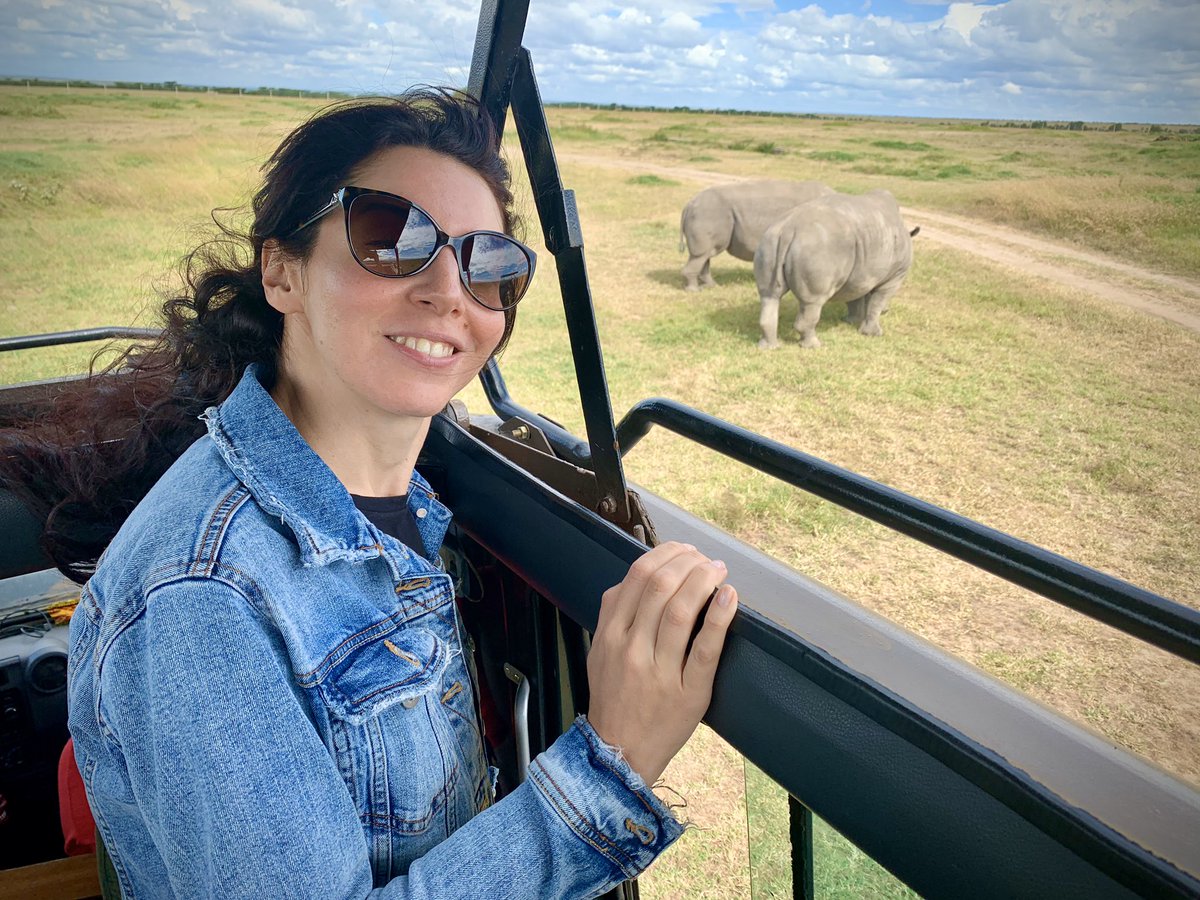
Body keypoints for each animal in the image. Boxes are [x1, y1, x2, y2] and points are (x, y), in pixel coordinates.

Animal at [679, 179, 834, 291]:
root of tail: (688, 205)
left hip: (707, 213)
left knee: (706, 255)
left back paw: (711, 286)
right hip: (709, 213)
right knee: (702, 254)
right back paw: (694, 290)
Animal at [754, 189, 918, 349]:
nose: (887, 311)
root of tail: (788, 230)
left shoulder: (859, 273)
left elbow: (855, 297)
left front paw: (850, 321)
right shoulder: (895, 276)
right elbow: (877, 302)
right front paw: (873, 333)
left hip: (770, 241)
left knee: (769, 295)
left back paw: (770, 347)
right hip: (819, 247)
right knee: (813, 301)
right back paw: (814, 346)